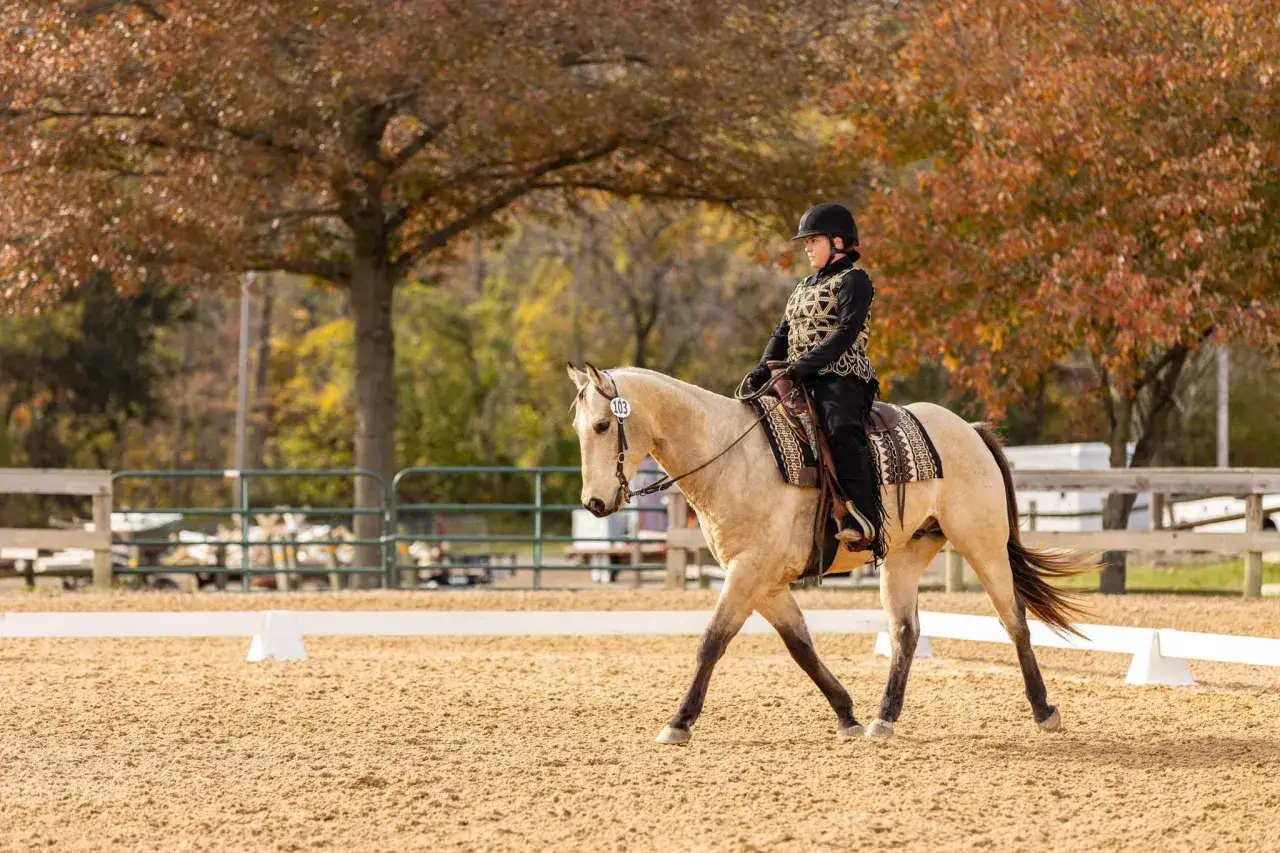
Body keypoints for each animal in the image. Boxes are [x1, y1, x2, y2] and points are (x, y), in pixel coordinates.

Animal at [566, 363, 1093, 744]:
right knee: (905, 633)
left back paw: (1044, 710)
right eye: (577, 426)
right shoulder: (763, 582)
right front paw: (846, 713)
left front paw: (679, 722)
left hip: (982, 545)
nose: (595, 504)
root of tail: (970, 429)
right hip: (904, 557)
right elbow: (800, 646)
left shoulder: (748, 572)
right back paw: (884, 719)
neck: (730, 457)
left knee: (1013, 619)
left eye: (602, 425)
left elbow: (712, 641)